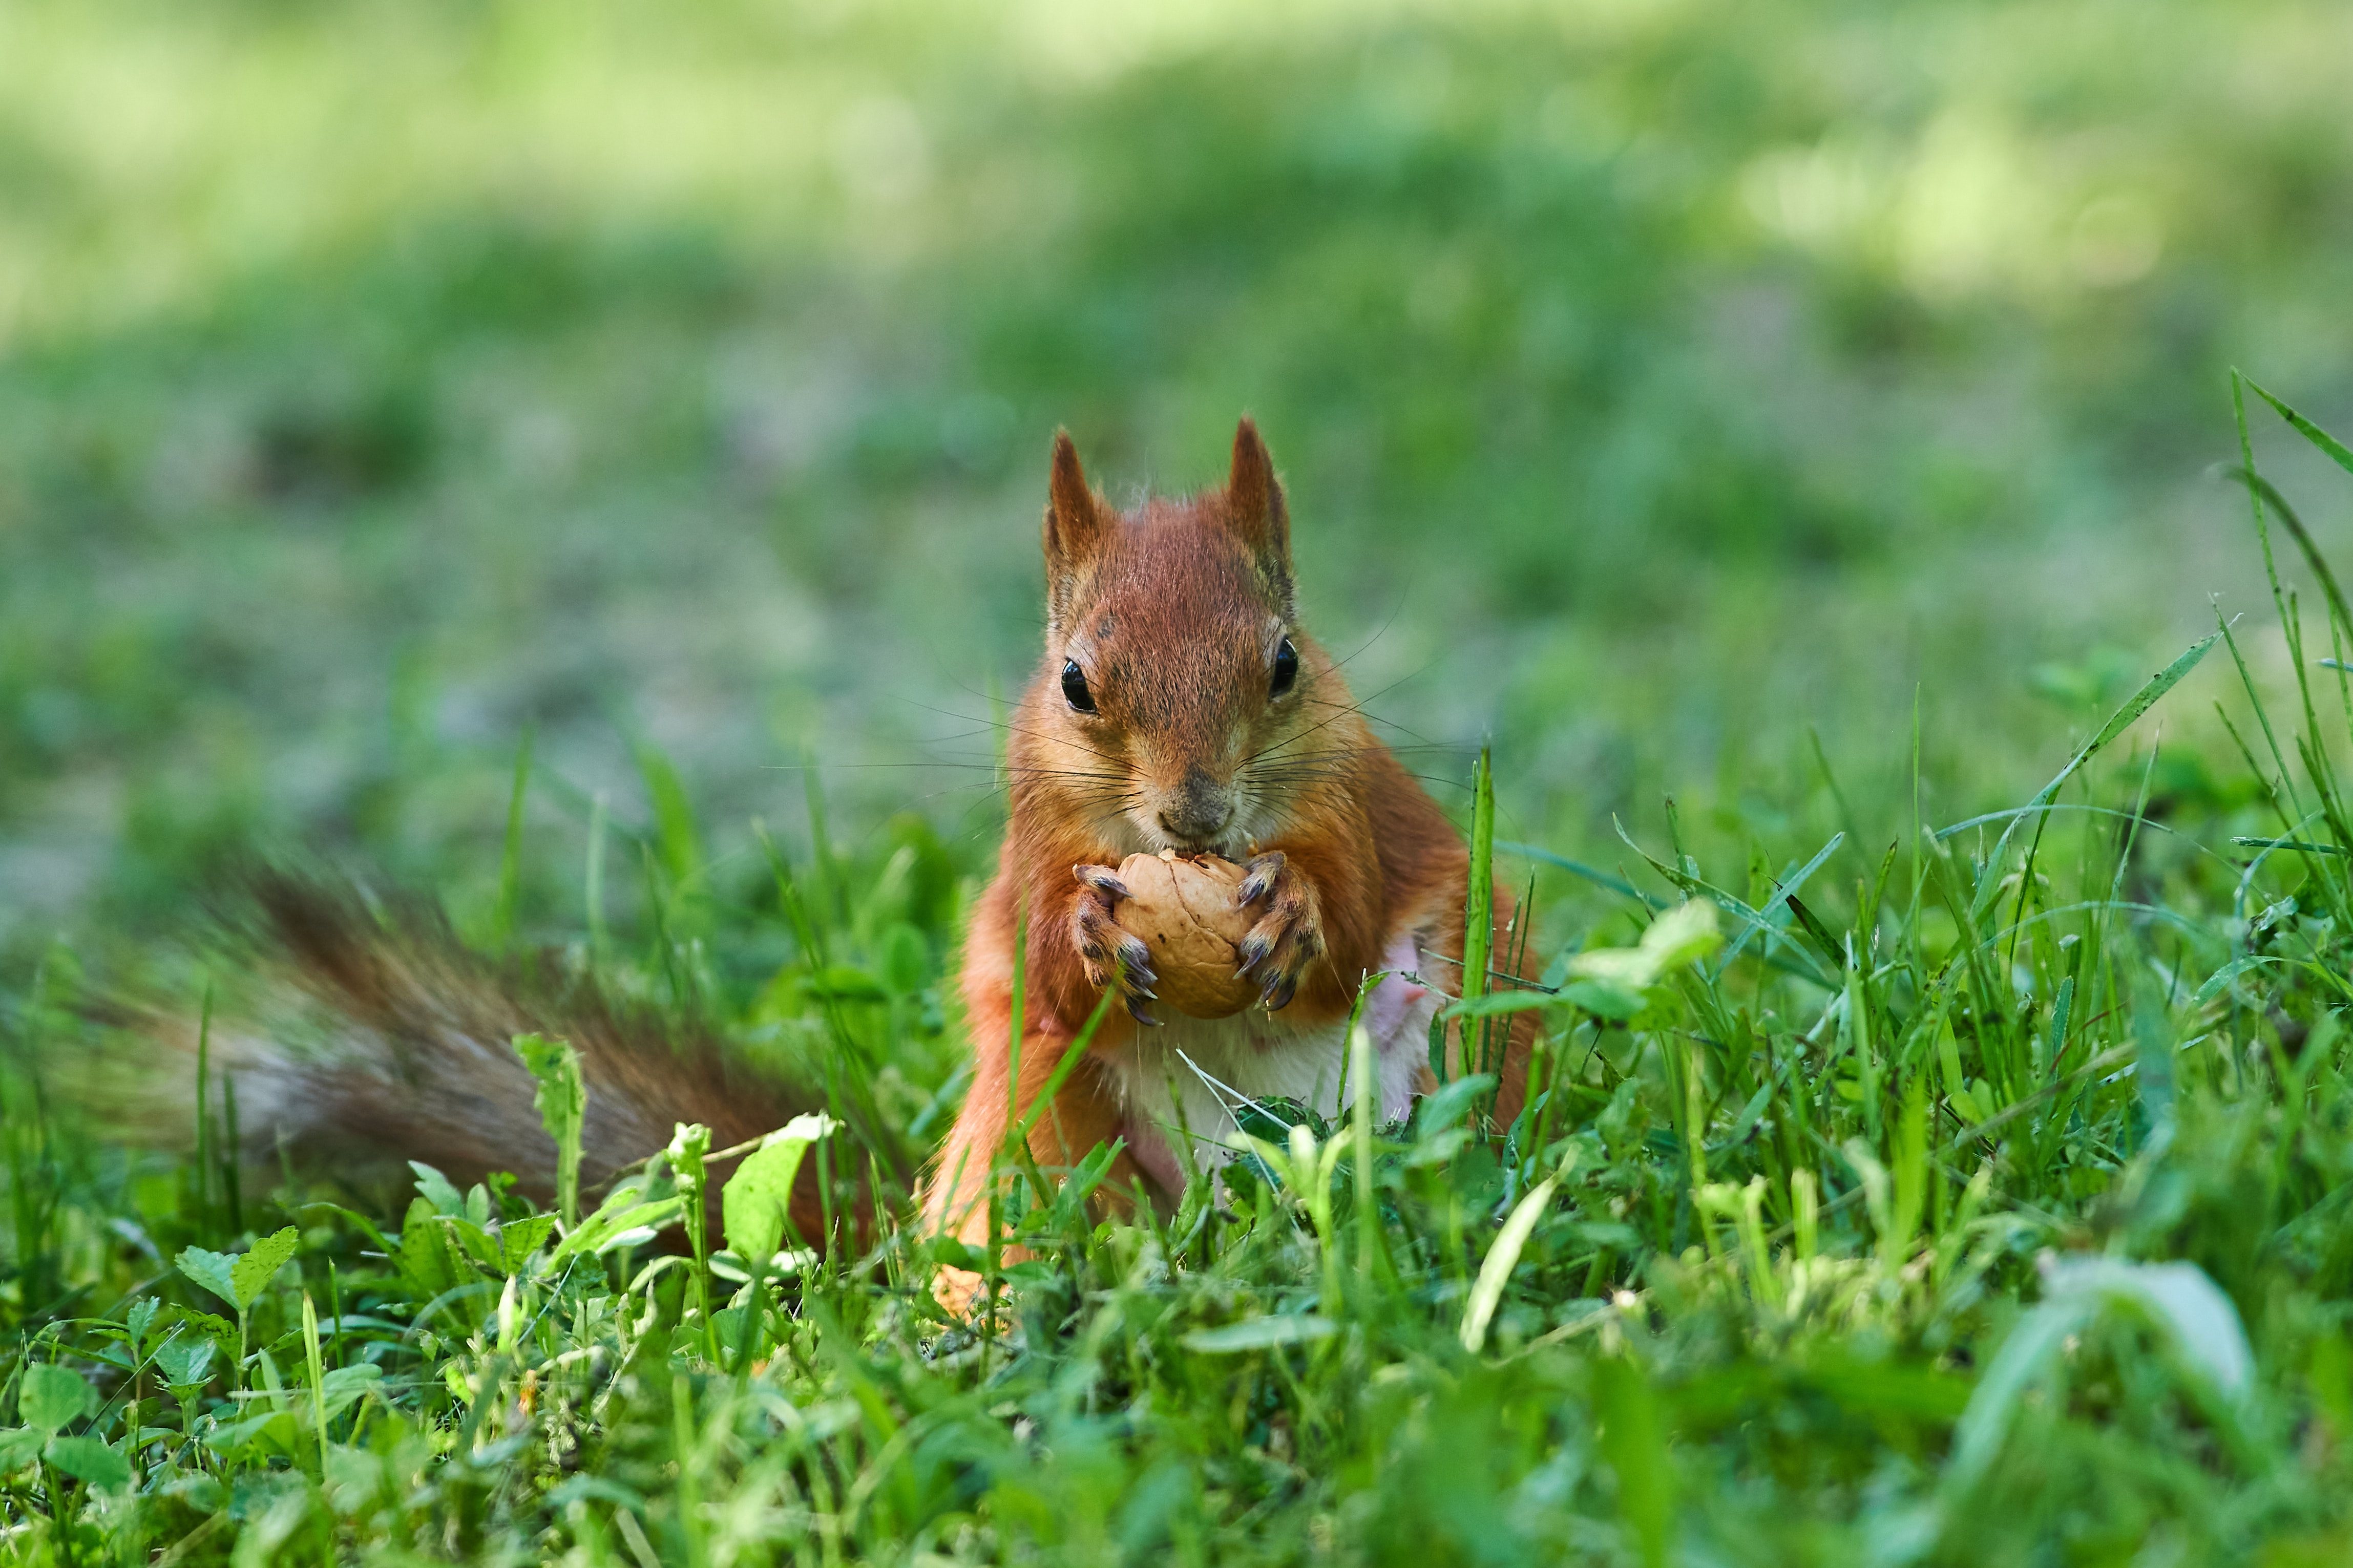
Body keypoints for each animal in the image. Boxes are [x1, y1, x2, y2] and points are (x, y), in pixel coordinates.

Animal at [917, 420, 1543, 1288]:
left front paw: (1294, 909)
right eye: (1073, 683)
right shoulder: (1039, 827)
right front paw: (1087, 926)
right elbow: (1045, 966)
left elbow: (1351, 922)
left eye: (1285, 664)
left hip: (1479, 1048)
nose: (1195, 813)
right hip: (1028, 1117)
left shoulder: (1343, 796)